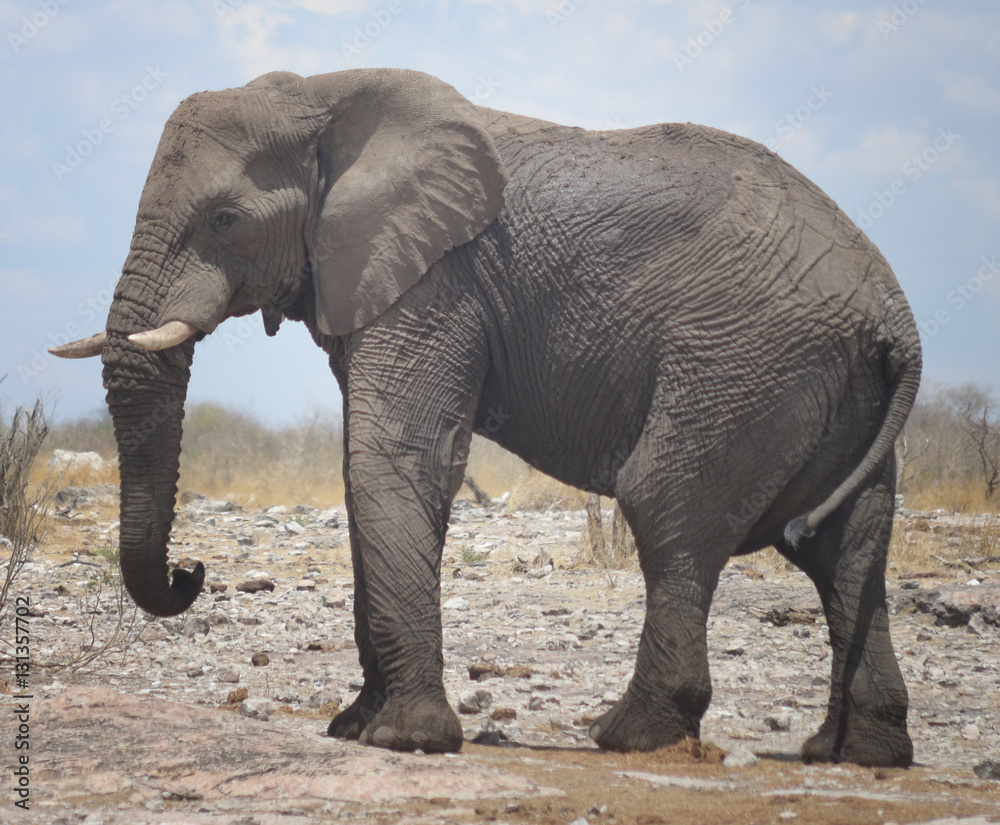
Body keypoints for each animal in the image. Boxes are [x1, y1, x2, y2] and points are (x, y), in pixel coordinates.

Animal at [52, 68, 921, 767]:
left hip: (742, 361)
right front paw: (354, 726)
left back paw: (626, 736)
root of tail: (895, 315)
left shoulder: (439, 279)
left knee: (668, 505)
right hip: (830, 388)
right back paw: (851, 753)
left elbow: (393, 458)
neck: (323, 96)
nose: (192, 571)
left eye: (225, 219)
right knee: (846, 547)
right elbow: (363, 468)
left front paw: (406, 740)